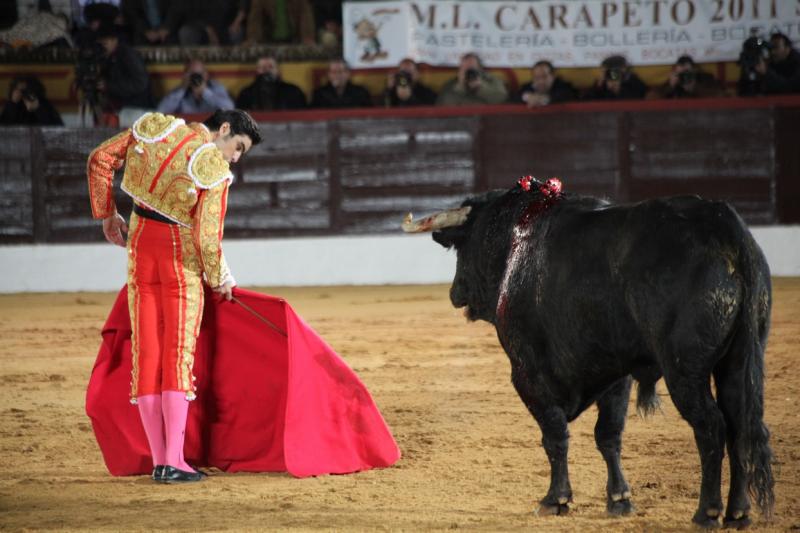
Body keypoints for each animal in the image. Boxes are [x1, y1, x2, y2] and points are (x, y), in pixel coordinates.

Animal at [406, 177, 776, 524]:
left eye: (462, 246)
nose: (455, 292)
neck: (515, 240)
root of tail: (725, 227)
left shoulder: (526, 372)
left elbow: (554, 435)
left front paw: (555, 499)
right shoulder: (615, 373)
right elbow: (608, 435)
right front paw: (619, 499)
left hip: (685, 370)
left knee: (711, 426)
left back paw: (707, 512)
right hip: (737, 361)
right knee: (740, 425)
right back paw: (738, 512)